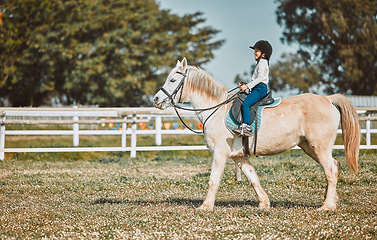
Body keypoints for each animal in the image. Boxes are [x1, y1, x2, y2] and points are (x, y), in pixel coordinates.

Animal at [152, 57, 358, 211]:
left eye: (172, 80)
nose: (156, 99)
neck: (217, 110)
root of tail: (328, 99)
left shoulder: (220, 154)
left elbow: (213, 180)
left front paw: (205, 207)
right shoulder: (239, 157)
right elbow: (253, 178)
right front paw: (264, 203)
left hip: (319, 146)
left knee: (330, 170)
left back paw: (327, 206)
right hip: (310, 147)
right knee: (334, 167)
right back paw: (332, 200)